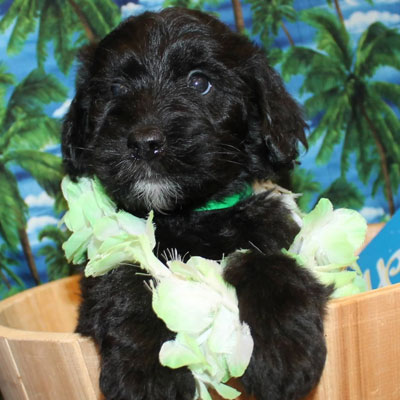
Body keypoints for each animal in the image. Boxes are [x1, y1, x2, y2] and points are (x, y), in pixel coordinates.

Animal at [62, 7, 330, 400]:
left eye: (199, 83)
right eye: (116, 90)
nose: (144, 142)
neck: (189, 215)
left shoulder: (273, 231)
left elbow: (271, 265)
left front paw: (285, 355)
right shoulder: (105, 261)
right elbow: (124, 280)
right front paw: (147, 376)